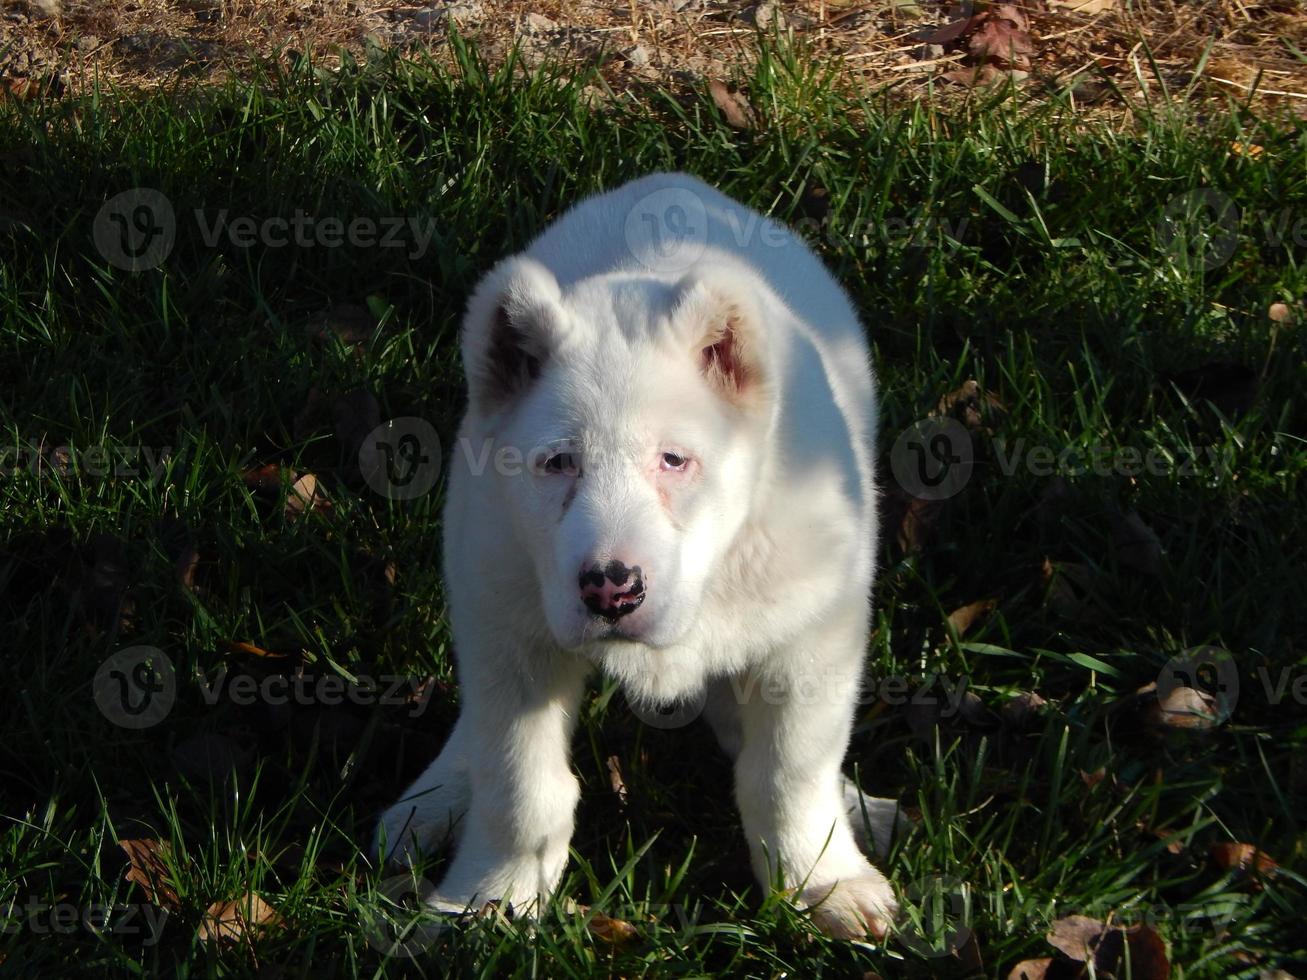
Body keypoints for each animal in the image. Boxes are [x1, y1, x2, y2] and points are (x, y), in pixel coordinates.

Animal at [373, 172, 893, 940]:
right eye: (558, 463)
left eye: (674, 460)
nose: (610, 590)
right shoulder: (511, 635)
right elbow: (519, 782)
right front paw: (490, 897)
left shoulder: (810, 639)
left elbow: (788, 774)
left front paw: (821, 881)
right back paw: (433, 801)